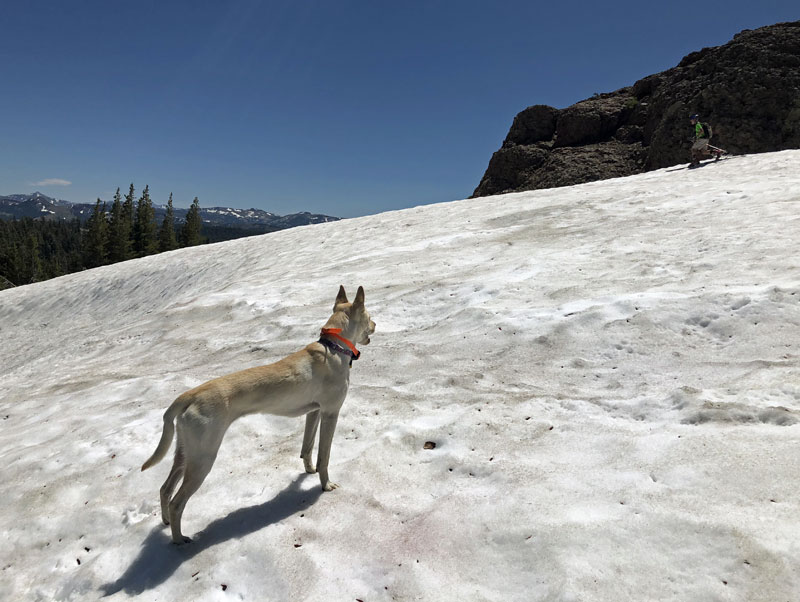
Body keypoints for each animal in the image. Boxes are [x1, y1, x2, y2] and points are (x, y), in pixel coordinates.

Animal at [142, 284, 376, 540]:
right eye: (370, 317)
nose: (376, 325)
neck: (334, 347)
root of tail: (189, 395)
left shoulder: (313, 412)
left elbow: (307, 448)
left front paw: (309, 471)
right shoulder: (330, 412)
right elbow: (324, 456)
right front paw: (325, 485)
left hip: (185, 451)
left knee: (165, 489)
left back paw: (165, 522)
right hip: (203, 457)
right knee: (177, 502)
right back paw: (180, 540)